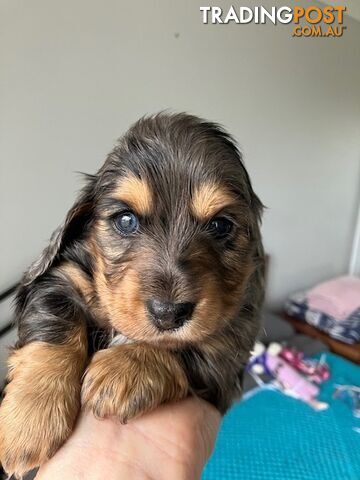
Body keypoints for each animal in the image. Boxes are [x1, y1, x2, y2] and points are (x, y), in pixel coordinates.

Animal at [0, 111, 264, 476]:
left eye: (221, 225)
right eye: (126, 220)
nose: (168, 313)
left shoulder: (232, 344)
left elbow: (191, 347)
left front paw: (126, 367)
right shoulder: (61, 277)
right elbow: (54, 325)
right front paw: (29, 422)